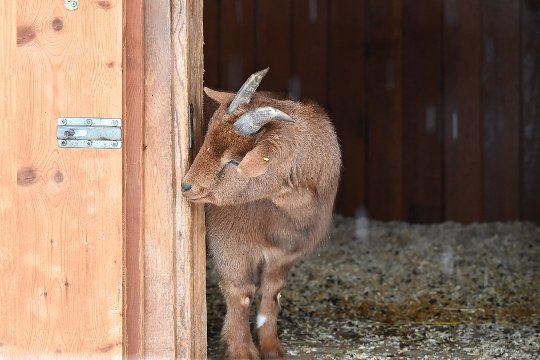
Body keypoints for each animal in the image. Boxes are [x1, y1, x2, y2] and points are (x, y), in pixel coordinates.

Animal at [181, 69, 342, 358]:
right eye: (206, 137)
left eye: (235, 161)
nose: (186, 186)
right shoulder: (231, 243)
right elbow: (241, 293)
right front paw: (242, 350)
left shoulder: (287, 252)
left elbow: (272, 292)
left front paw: (271, 348)